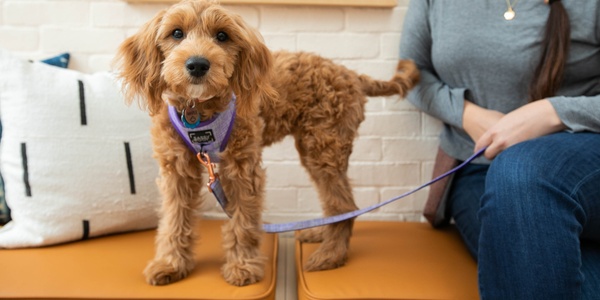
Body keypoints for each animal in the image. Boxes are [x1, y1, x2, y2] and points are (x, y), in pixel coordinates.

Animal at [115, 0, 420, 288]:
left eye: (222, 36)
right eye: (176, 33)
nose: (198, 64)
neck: (198, 112)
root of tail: (351, 75)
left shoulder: (242, 168)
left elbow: (243, 220)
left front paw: (242, 267)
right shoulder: (177, 170)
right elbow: (174, 219)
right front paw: (170, 264)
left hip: (323, 147)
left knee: (344, 206)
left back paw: (330, 255)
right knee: (337, 203)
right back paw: (320, 232)